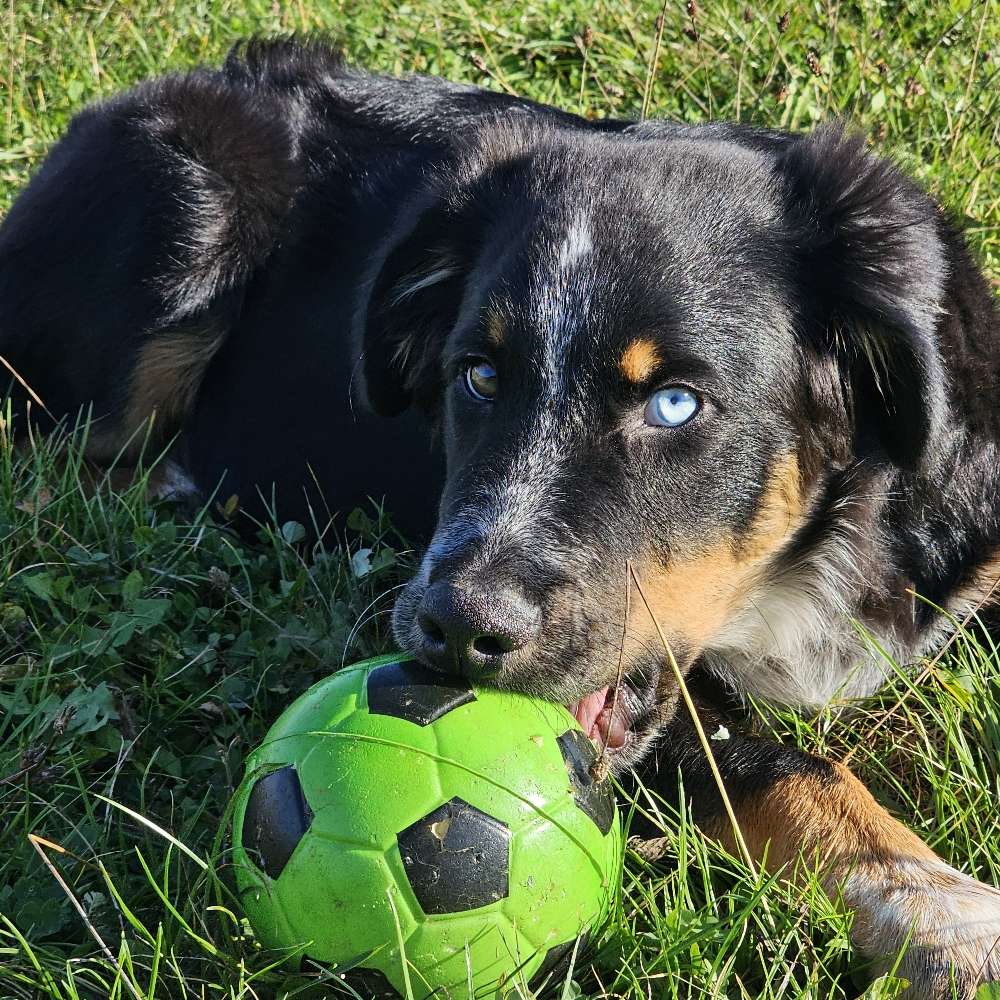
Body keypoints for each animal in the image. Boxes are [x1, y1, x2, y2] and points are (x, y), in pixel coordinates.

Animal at [1, 35, 1000, 996]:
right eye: (477, 376)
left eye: (675, 404)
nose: (454, 630)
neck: (807, 562)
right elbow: (788, 768)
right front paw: (947, 919)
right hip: (186, 209)